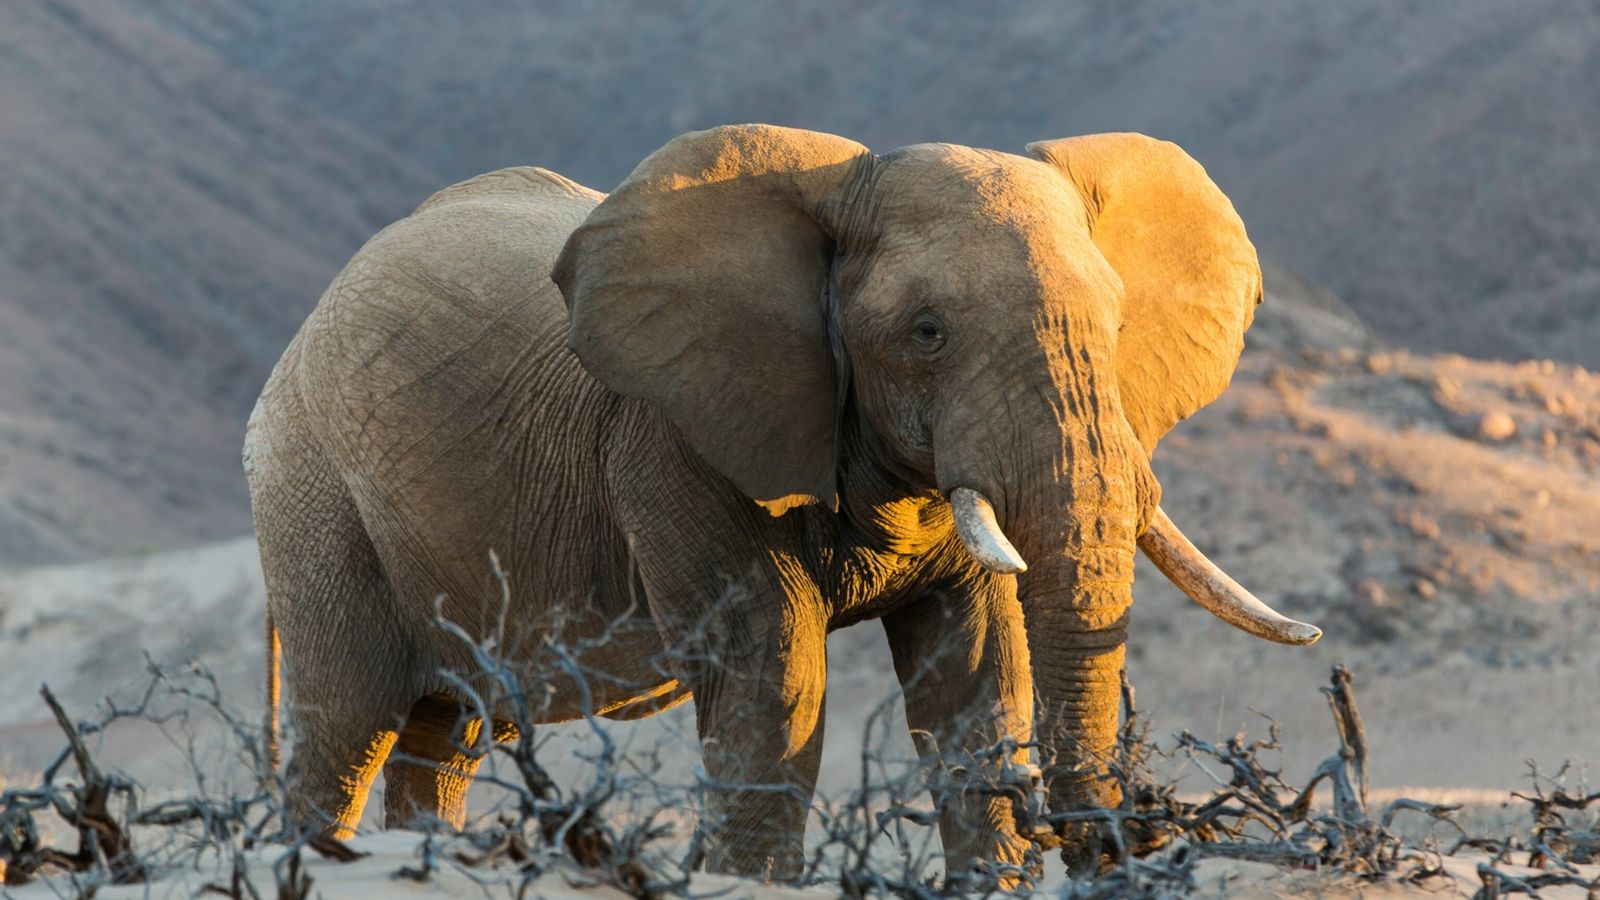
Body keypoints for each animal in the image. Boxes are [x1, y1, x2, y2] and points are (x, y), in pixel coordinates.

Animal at [243, 124, 1320, 879]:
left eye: (1116, 323)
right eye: (927, 331)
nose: (1124, 838)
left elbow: (975, 671)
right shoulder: (676, 434)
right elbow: (775, 671)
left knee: (447, 740)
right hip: (313, 489)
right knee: (346, 730)